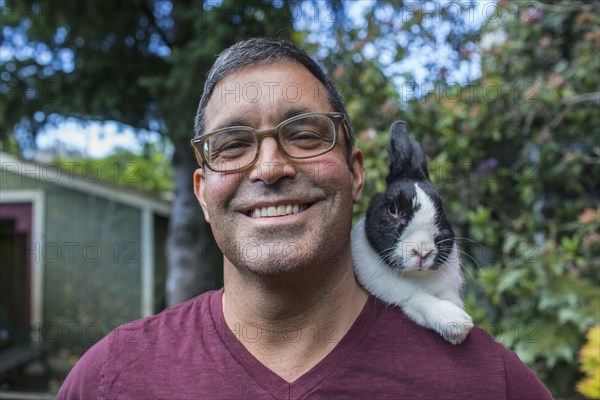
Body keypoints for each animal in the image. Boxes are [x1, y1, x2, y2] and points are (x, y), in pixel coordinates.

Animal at [352, 119, 474, 344]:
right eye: (393, 209)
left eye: (440, 209)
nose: (422, 252)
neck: (418, 276)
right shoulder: (398, 294)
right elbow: (419, 298)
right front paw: (457, 325)